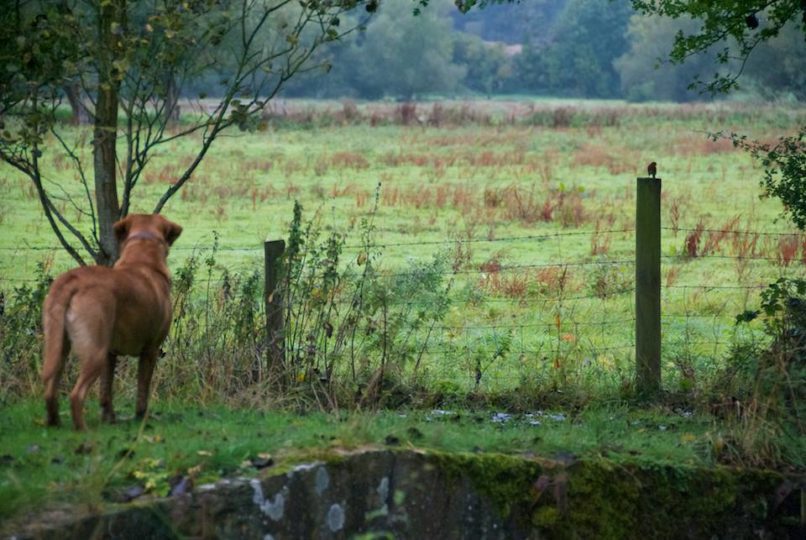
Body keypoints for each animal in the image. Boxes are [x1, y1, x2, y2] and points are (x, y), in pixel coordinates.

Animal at [41, 213, 183, 428]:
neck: (142, 257)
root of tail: (73, 279)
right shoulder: (150, 350)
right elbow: (143, 389)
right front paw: (141, 417)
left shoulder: (110, 353)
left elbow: (105, 392)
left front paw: (109, 418)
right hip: (95, 351)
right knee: (76, 395)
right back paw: (82, 430)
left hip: (59, 347)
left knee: (51, 389)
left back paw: (54, 423)